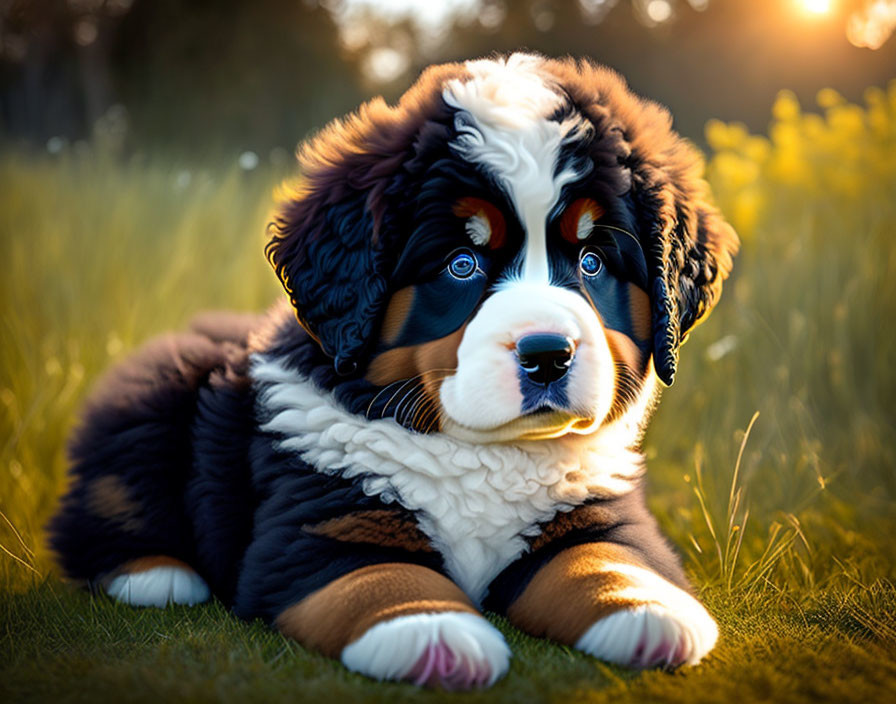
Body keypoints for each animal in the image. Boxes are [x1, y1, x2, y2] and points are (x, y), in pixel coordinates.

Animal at [47, 53, 736, 688]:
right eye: (461, 264)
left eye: (592, 261)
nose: (549, 354)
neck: (485, 454)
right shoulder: (323, 522)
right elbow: (382, 576)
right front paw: (433, 632)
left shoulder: (593, 507)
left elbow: (606, 557)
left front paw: (644, 610)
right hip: (154, 398)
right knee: (99, 512)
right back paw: (154, 575)